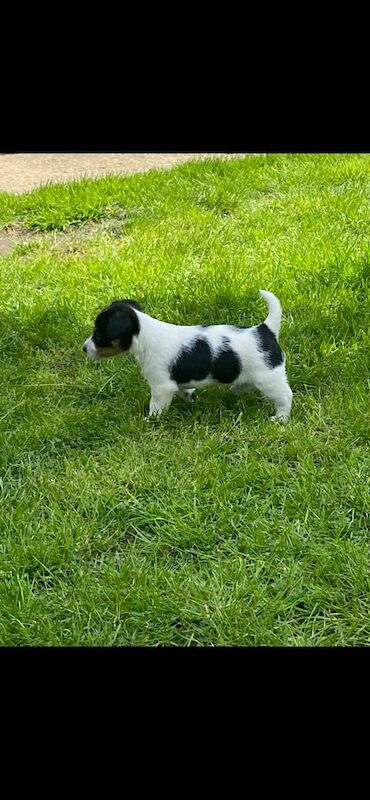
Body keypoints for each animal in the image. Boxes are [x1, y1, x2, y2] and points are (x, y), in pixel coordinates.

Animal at [82, 290, 294, 422]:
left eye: (98, 333)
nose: (84, 348)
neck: (145, 336)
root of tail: (265, 330)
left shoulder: (161, 386)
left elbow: (156, 406)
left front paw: (151, 419)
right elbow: (184, 390)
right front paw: (190, 398)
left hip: (268, 378)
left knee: (285, 396)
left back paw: (280, 418)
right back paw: (236, 389)